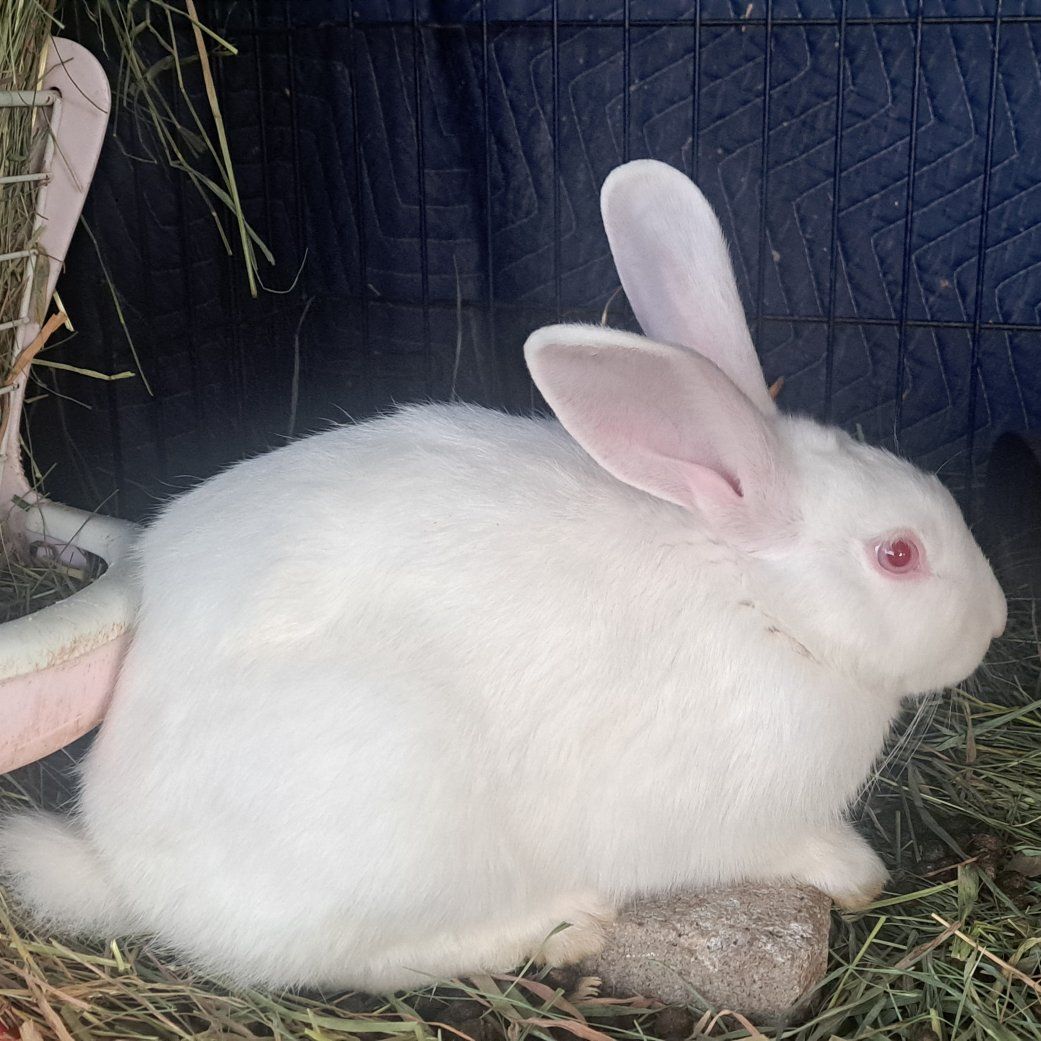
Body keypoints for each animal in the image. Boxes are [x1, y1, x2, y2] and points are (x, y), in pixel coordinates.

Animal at [0, 160, 1006, 993]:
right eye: (897, 554)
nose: (997, 618)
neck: (762, 602)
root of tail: (120, 860)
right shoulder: (734, 819)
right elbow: (793, 847)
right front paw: (858, 872)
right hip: (394, 821)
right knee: (354, 959)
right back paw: (562, 925)